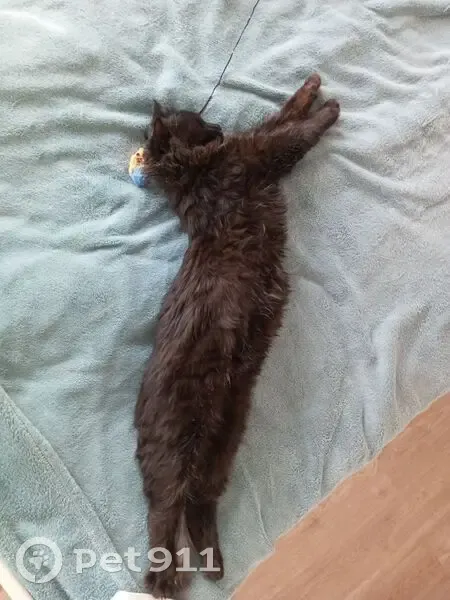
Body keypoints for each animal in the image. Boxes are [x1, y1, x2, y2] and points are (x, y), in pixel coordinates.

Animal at [135, 73, 340, 599]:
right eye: (199, 119)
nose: (219, 127)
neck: (192, 171)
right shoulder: (259, 156)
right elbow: (294, 131)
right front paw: (328, 107)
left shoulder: (253, 148)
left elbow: (283, 112)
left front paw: (310, 84)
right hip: (176, 453)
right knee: (163, 523)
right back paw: (172, 578)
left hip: (221, 447)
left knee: (198, 507)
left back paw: (214, 564)